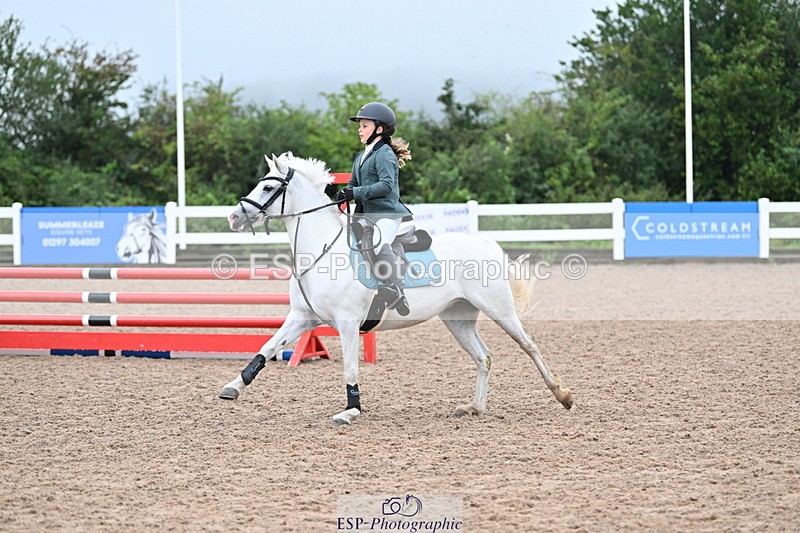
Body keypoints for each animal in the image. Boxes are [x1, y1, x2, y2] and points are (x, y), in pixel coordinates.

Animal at [219, 152, 572, 425]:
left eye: (267, 186)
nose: (234, 217)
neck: (322, 250)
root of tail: (484, 242)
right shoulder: (302, 317)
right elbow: (266, 349)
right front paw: (233, 386)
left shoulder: (347, 323)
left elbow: (349, 367)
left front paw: (350, 410)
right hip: (457, 318)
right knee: (483, 357)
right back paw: (474, 407)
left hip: (499, 309)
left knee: (529, 345)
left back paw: (563, 395)